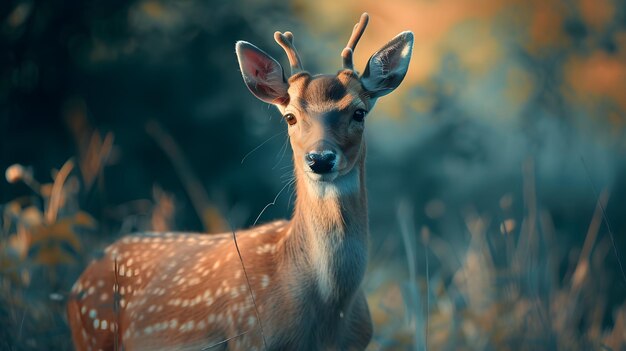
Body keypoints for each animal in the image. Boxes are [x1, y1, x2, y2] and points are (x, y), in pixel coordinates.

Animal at [66, 13, 412, 351]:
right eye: (290, 117)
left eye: (359, 112)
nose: (320, 159)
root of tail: (79, 282)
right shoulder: (250, 338)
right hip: (93, 334)